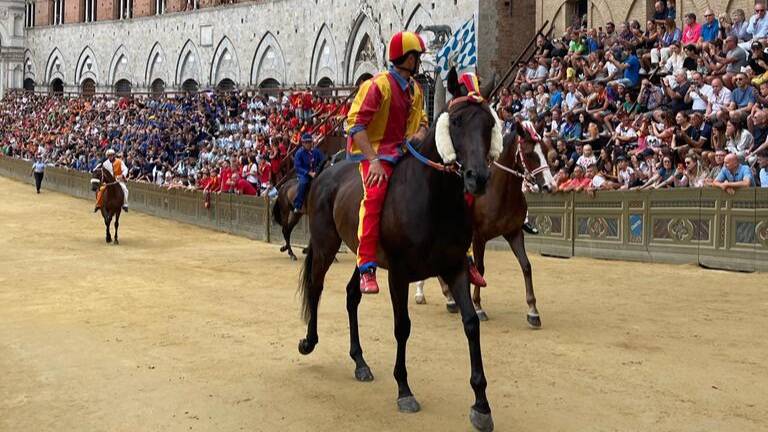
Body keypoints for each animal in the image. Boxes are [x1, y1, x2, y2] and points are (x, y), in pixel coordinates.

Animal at [294, 70, 498, 432]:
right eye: (457, 121)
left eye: (489, 123)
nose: (478, 178)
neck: (435, 198)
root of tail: (325, 174)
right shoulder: (400, 273)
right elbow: (402, 326)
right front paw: (404, 390)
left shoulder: (454, 266)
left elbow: (471, 323)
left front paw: (481, 404)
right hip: (325, 244)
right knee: (316, 287)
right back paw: (309, 341)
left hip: (363, 253)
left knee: (352, 293)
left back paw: (359, 360)